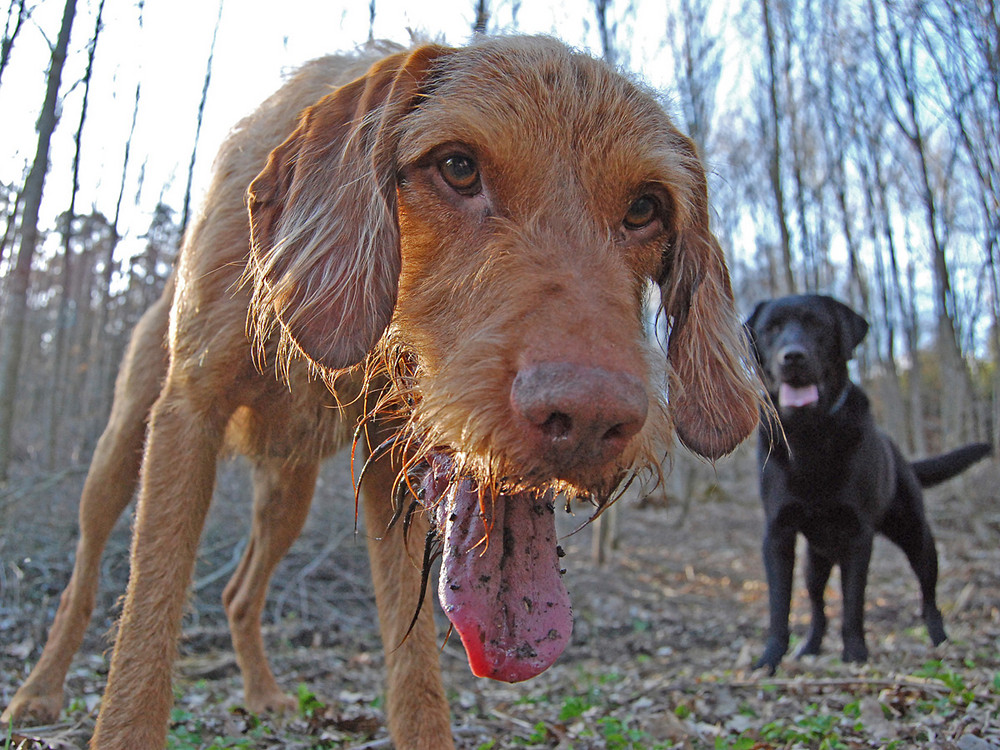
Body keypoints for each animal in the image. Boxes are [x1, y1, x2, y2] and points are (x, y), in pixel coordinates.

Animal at [3, 39, 760, 750]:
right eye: (458, 167)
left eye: (646, 208)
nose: (589, 419)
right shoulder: (189, 412)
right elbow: (146, 623)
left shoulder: (389, 457)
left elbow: (414, 660)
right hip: (119, 451)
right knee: (85, 578)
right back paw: (38, 693)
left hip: (289, 494)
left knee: (239, 592)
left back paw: (262, 691)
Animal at [748, 296, 988, 676]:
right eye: (771, 328)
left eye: (818, 325)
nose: (793, 356)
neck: (812, 433)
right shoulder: (778, 534)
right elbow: (779, 606)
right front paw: (769, 660)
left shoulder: (858, 535)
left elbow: (854, 603)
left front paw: (856, 655)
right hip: (815, 562)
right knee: (817, 606)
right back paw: (810, 646)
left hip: (917, 538)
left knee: (929, 596)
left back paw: (940, 640)